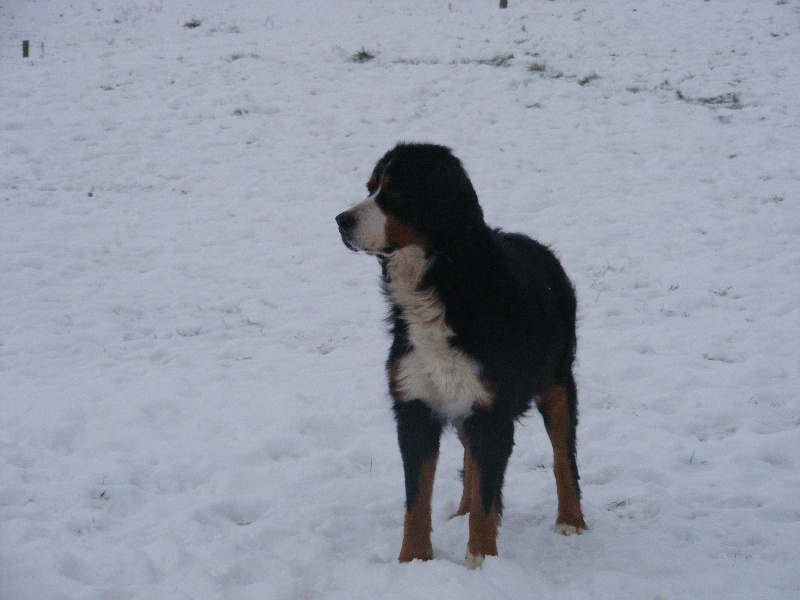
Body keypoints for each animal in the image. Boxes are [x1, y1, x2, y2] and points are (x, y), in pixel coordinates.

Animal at [334, 142, 584, 568]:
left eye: (396, 192)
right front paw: (413, 561)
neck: (439, 285)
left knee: (563, 455)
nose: (341, 220)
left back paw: (571, 521)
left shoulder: (490, 411)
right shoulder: (416, 404)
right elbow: (417, 499)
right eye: (370, 187)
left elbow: (488, 498)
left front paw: (480, 562)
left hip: (556, 382)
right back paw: (462, 511)